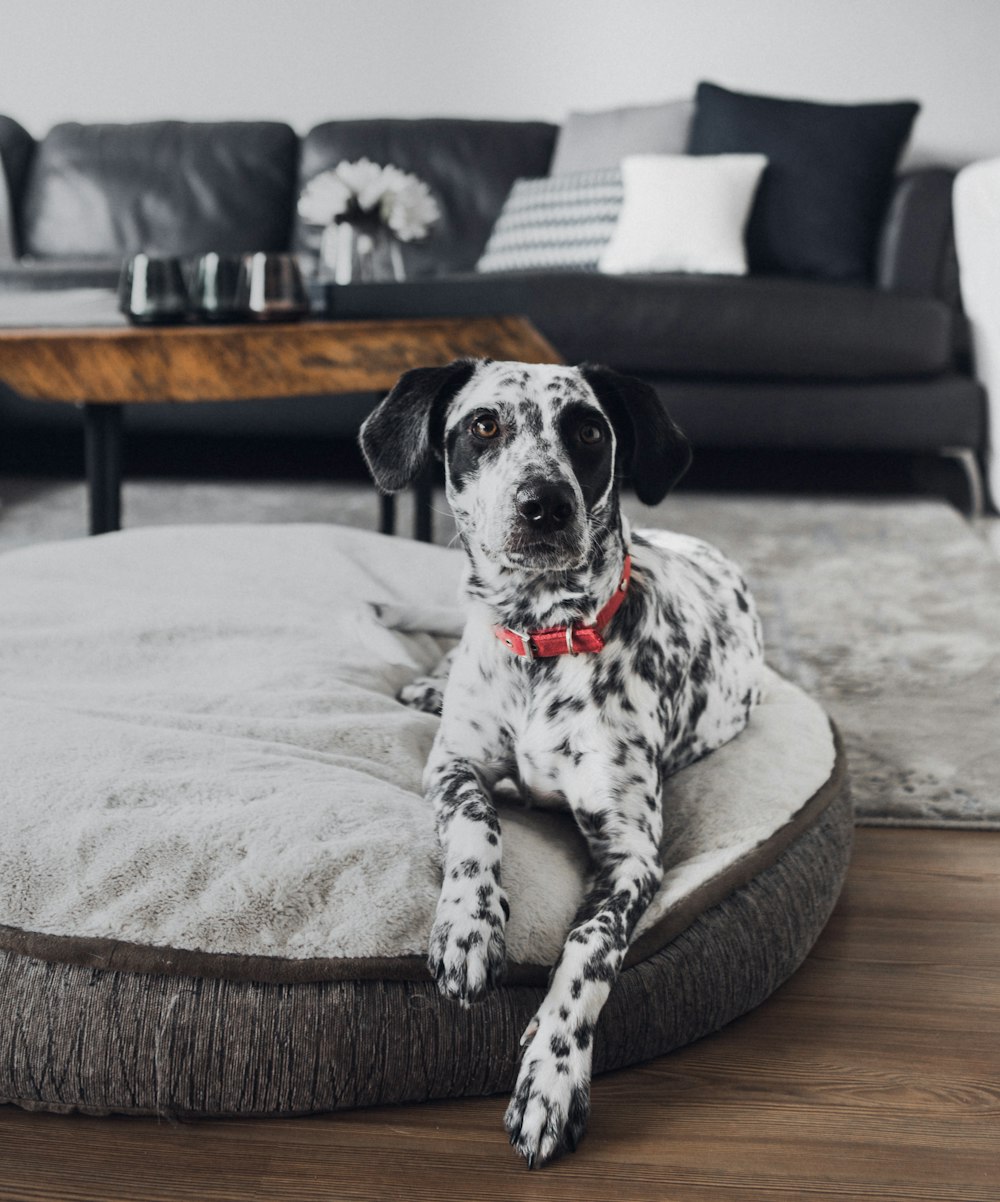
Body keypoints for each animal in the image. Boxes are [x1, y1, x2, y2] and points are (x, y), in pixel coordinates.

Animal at [360, 355, 764, 1163]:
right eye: (485, 425)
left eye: (589, 431)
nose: (544, 502)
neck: (539, 638)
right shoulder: (451, 768)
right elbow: (475, 825)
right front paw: (469, 926)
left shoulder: (632, 857)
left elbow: (588, 950)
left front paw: (551, 1077)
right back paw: (427, 683)